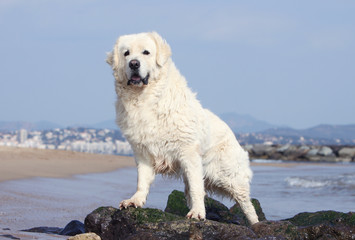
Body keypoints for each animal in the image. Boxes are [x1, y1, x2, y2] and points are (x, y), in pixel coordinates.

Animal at [107, 31, 260, 225]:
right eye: (126, 53)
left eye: (146, 52)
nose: (134, 63)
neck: (145, 98)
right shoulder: (142, 152)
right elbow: (142, 180)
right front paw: (135, 200)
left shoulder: (188, 153)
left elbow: (196, 188)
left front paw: (197, 213)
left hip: (228, 176)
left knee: (247, 204)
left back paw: (256, 224)